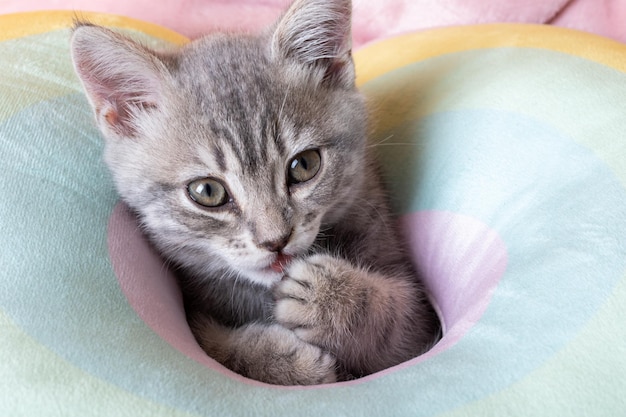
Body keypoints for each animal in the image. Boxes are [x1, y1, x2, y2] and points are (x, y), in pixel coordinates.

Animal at [70, 0, 438, 384]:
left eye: (304, 165)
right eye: (207, 191)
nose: (275, 241)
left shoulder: (418, 318)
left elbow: (397, 321)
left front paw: (331, 298)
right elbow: (210, 344)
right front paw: (287, 364)